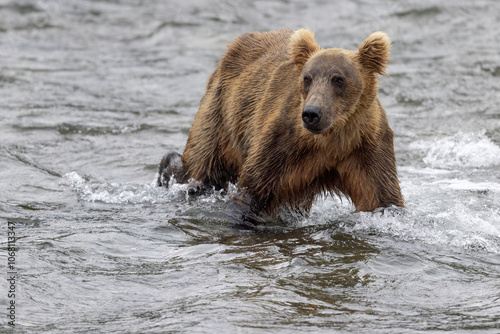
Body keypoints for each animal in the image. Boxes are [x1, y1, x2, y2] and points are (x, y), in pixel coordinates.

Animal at [158, 28, 404, 217]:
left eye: (338, 79)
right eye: (307, 78)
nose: (312, 113)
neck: (331, 140)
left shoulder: (365, 146)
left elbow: (382, 197)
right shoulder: (282, 143)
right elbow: (254, 188)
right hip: (221, 112)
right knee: (204, 165)